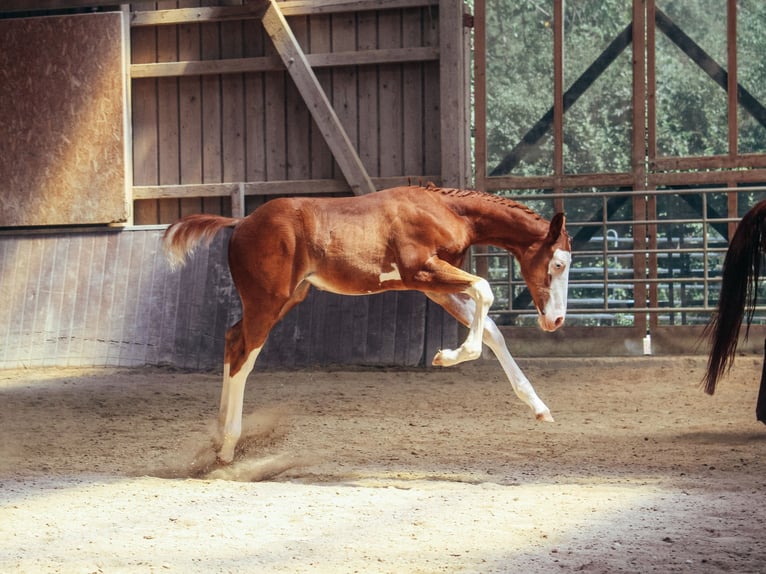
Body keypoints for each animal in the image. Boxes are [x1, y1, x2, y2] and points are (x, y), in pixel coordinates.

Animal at [163, 184, 572, 463]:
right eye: (558, 263)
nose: (555, 320)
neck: (446, 210)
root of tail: (242, 222)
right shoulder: (423, 272)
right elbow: (485, 291)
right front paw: (445, 356)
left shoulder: (433, 286)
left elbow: (491, 330)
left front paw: (540, 408)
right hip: (267, 301)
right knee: (244, 355)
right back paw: (228, 447)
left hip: (287, 298)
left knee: (233, 339)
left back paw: (219, 437)